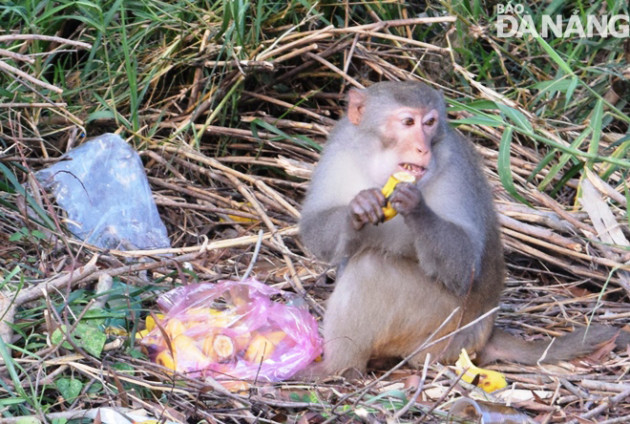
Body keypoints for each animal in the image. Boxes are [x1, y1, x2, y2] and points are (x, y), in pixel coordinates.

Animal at [302, 81, 630, 376]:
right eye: (408, 122)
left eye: (430, 123)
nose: (423, 148)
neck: (380, 161)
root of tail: (484, 332)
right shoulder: (340, 145)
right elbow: (315, 232)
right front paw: (358, 208)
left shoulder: (454, 162)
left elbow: (465, 265)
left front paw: (415, 206)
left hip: (442, 330)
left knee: (371, 269)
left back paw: (335, 368)